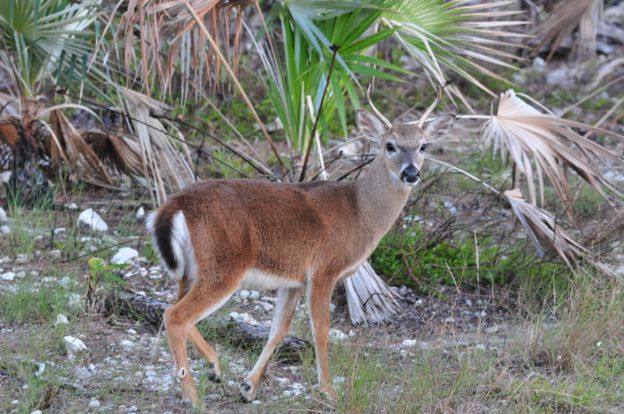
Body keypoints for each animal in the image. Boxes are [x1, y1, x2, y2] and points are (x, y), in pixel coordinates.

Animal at [149, 92, 456, 406]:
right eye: (390, 145)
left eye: (423, 146)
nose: (411, 173)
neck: (359, 211)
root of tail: (176, 204)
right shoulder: (325, 270)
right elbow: (321, 330)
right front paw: (328, 389)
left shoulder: (295, 280)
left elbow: (278, 330)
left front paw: (248, 388)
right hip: (223, 267)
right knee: (175, 316)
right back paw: (192, 395)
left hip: (191, 270)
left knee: (173, 309)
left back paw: (213, 367)